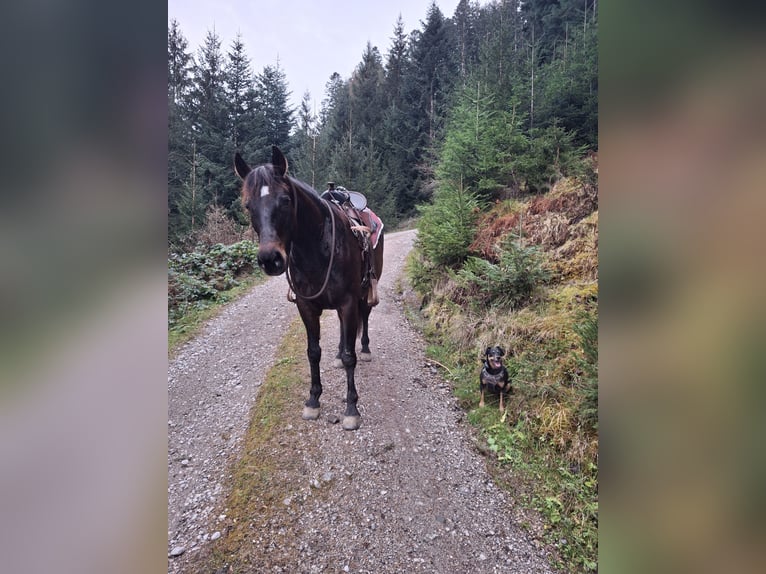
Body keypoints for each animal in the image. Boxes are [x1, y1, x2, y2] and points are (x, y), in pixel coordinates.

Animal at [232, 146, 384, 430]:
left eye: (285, 200)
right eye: (248, 205)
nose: (270, 259)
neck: (317, 249)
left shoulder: (348, 301)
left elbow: (351, 356)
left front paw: (351, 408)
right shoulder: (306, 306)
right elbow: (313, 352)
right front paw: (313, 401)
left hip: (365, 291)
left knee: (365, 318)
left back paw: (366, 349)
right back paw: (337, 354)